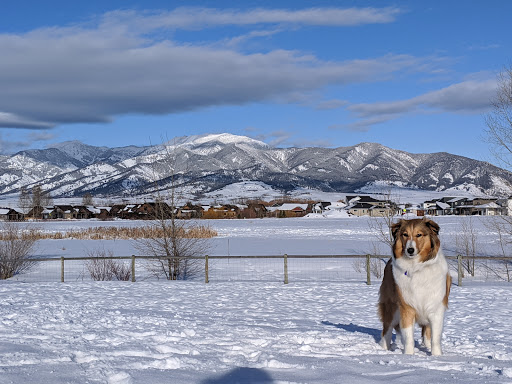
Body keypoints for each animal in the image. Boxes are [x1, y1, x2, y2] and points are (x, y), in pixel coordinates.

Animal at [376, 218, 452, 356]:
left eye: (419, 235)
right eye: (405, 234)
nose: (410, 250)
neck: (416, 267)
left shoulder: (436, 308)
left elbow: (435, 337)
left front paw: (436, 356)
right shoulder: (406, 307)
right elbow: (408, 336)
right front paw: (409, 356)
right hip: (391, 308)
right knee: (386, 331)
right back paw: (384, 349)